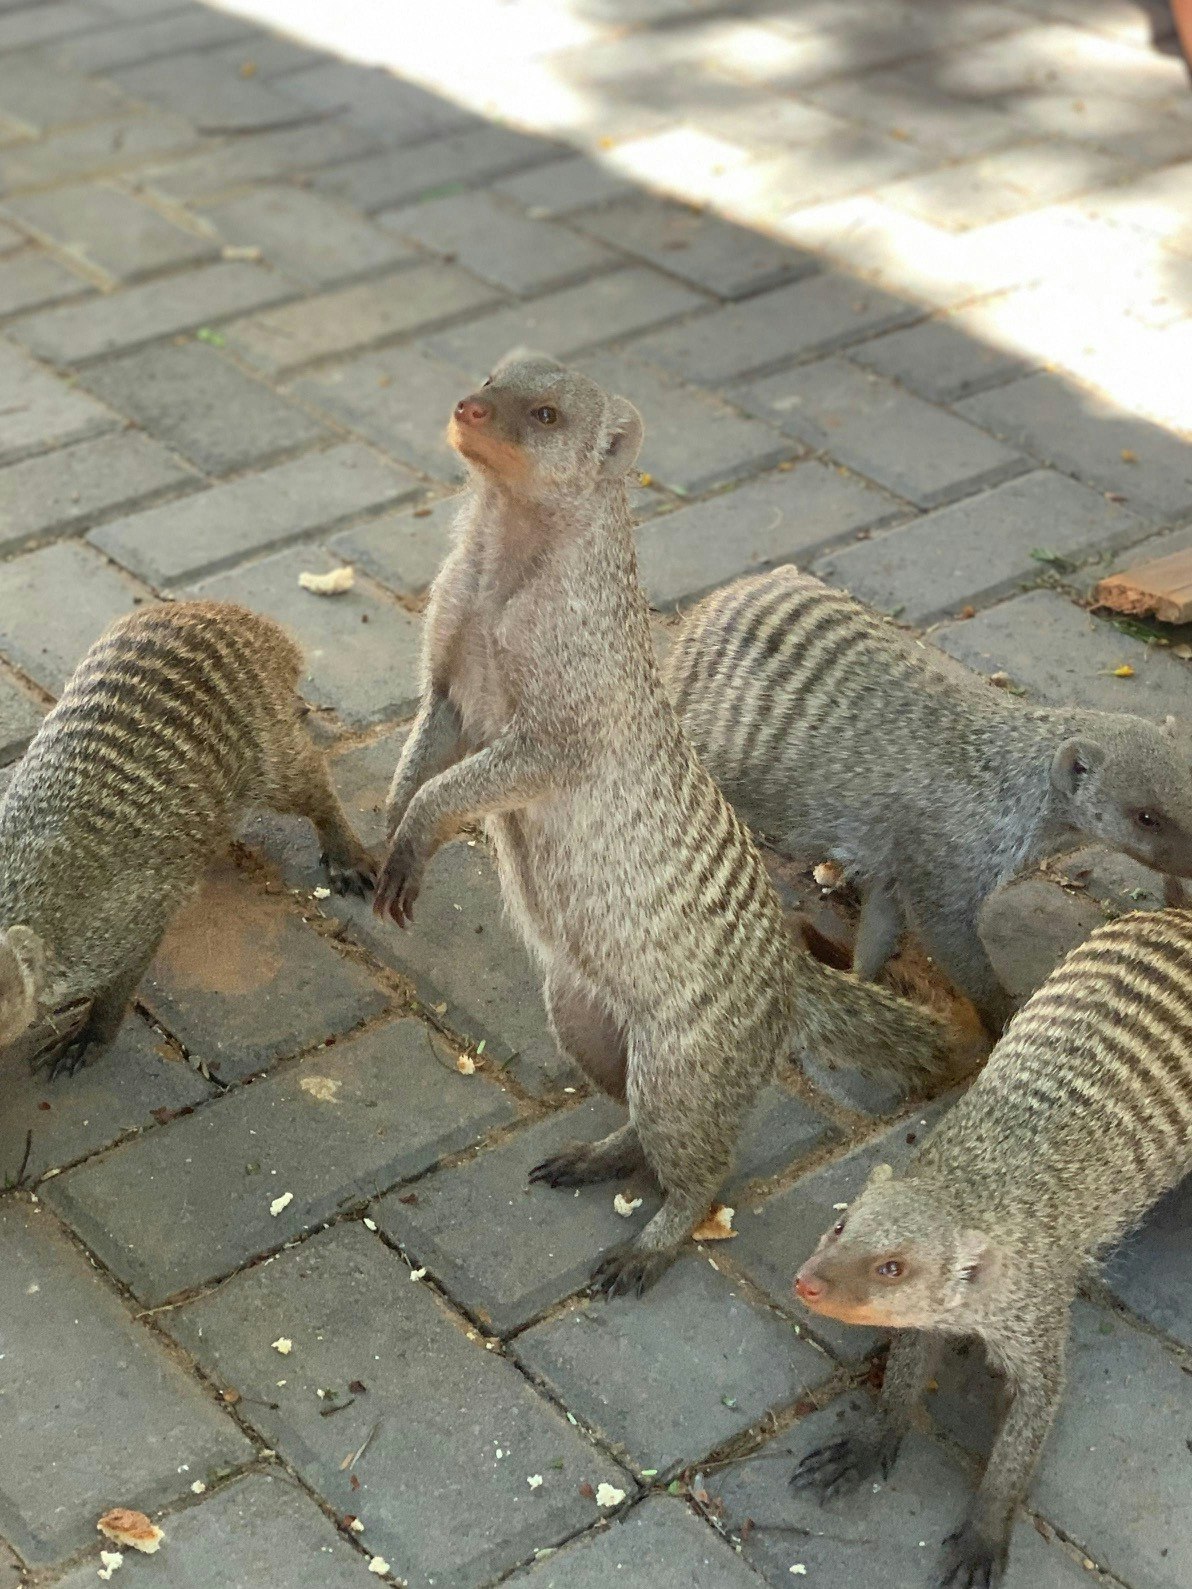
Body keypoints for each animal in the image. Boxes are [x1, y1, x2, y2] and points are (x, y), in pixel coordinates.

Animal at [0, 601, 373, 1076]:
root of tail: (252, 622)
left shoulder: (124, 922)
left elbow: (120, 984)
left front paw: (87, 1036)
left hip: (264, 739)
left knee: (310, 778)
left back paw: (348, 856)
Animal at [373, 353, 968, 1300]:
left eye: (544, 412)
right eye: (491, 376)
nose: (467, 406)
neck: (502, 581)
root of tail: (789, 979)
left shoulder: (565, 719)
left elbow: (484, 775)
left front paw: (415, 838)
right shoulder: (450, 672)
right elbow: (424, 744)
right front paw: (385, 830)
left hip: (687, 1057)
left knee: (703, 1162)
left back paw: (648, 1245)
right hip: (578, 1007)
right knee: (635, 1112)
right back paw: (598, 1154)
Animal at [662, 564, 1192, 1033]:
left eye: (1188, 797)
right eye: (1147, 817)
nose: (1191, 864)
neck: (1008, 784)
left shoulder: (901, 862)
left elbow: (881, 922)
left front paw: (863, 983)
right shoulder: (945, 856)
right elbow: (951, 940)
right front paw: (1002, 1018)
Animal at [790, 906, 1192, 1588]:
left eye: (891, 1267)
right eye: (841, 1230)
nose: (807, 1282)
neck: (975, 1185)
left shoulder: (1036, 1303)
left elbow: (1037, 1403)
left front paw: (984, 1530)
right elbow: (910, 1360)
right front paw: (873, 1437)